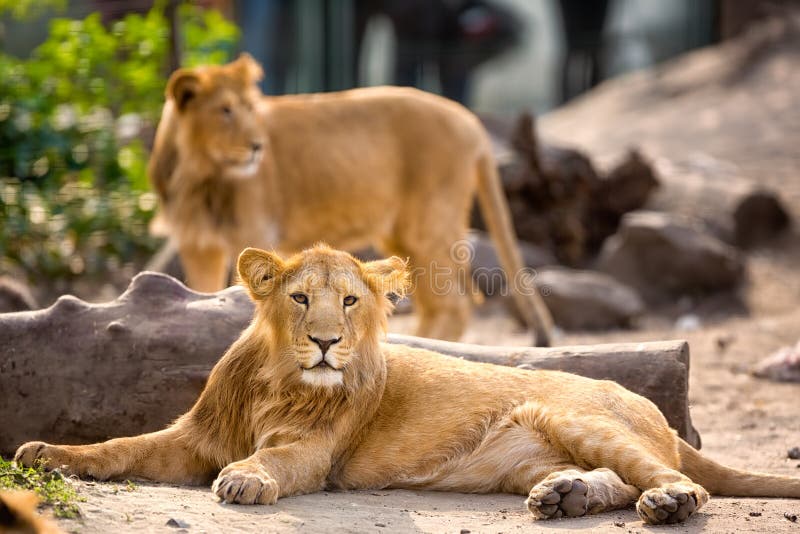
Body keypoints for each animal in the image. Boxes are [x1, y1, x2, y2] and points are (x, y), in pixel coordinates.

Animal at [10, 247, 800, 528]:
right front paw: (46, 454)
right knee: (615, 479)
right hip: (538, 456)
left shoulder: (310, 453)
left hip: (581, 417)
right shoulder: (190, 437)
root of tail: (654, 408)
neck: (274, 381)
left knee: (672, 478)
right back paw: (566, 497)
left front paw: (246, 479)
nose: (327, 342)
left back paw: (665, 504)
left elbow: (272, 460)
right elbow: (119, 445)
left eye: (351, 302)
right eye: (301, 299)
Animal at [147, 54, 552, 346]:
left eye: (251, 109)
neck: (200, 174)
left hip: (429, 224)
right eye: (226, 110)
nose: (259, 147)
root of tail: (472, 121)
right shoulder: (198, 245)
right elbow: (202, 297)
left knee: (453, 306)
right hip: (402, 237)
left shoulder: (255, 232)